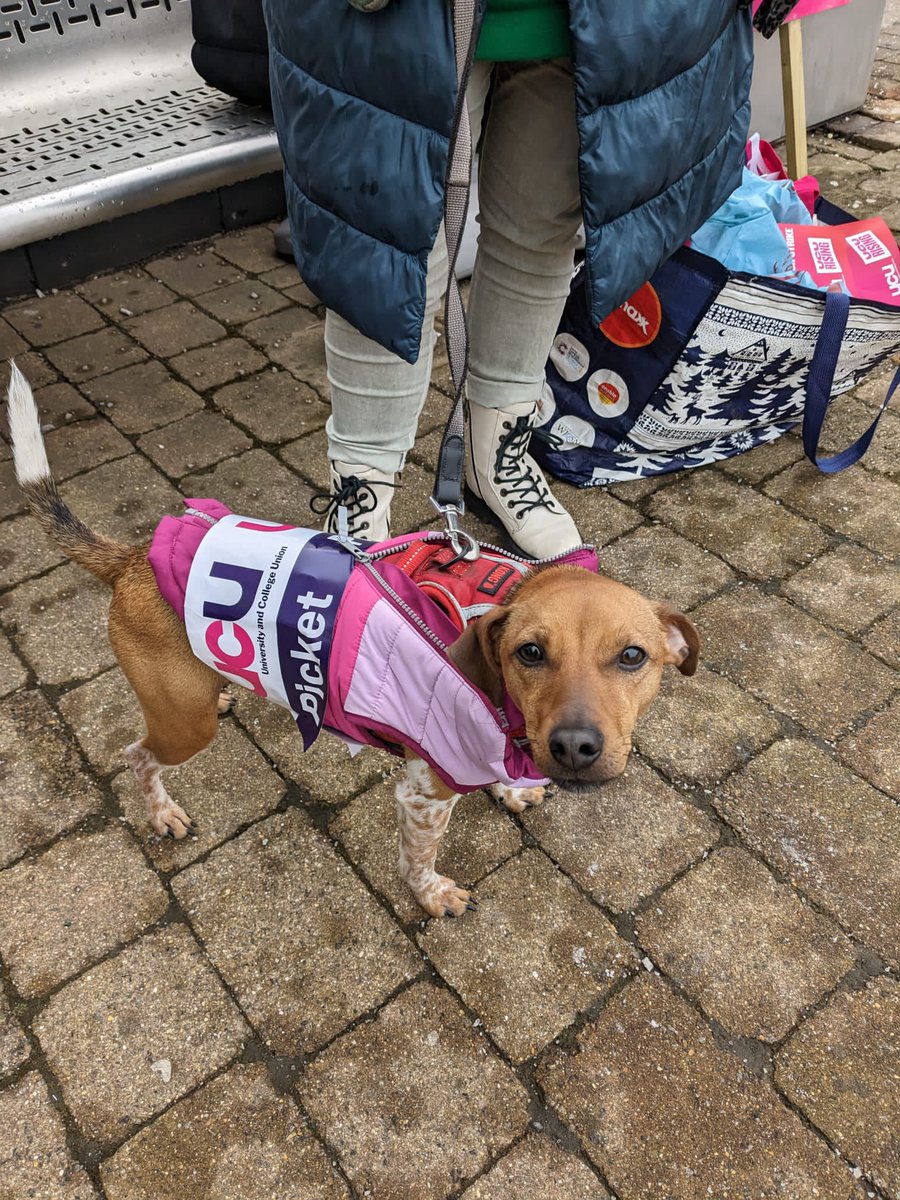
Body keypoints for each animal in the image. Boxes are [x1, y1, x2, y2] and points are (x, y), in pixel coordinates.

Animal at [5, 364, 696, 916]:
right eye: (530, 653)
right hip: (183, 728)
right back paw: (161, 811)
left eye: (632, 657)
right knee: (137, 756)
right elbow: (419, 861)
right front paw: (433, 896)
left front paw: (510, 788)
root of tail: (130, 559)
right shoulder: (423, 795)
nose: (576, 747)